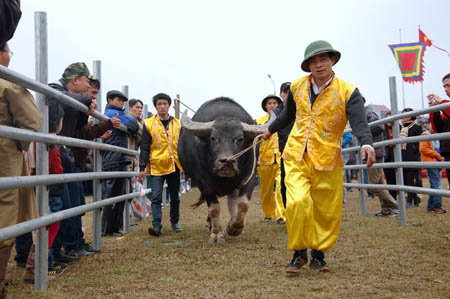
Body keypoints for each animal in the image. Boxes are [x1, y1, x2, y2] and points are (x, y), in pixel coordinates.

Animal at [178, 98, 272, 244]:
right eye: (213, 138)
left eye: (240, 139)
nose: (227, 162)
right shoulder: (204, 182)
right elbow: (214, 209)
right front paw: (217, 234)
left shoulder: (248, 177)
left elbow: (243, 204)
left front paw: (234, 227)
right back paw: (210, 225)